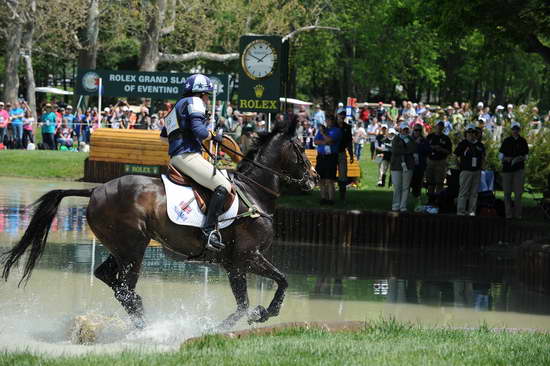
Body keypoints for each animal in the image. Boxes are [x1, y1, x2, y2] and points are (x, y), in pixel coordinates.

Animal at [1, 121, 320, 330]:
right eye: (301, 148)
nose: (314, 178)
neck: (254, 193)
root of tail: (95, 190)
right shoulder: (247, 257)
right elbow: (282, 280)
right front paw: (264, 313)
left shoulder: (234, 264)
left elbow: (245, 302)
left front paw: (235, 322)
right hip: (133, 249)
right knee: (124, 289)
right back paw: (144, 324)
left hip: (120, 249)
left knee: (110, 279)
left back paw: (141, 316)